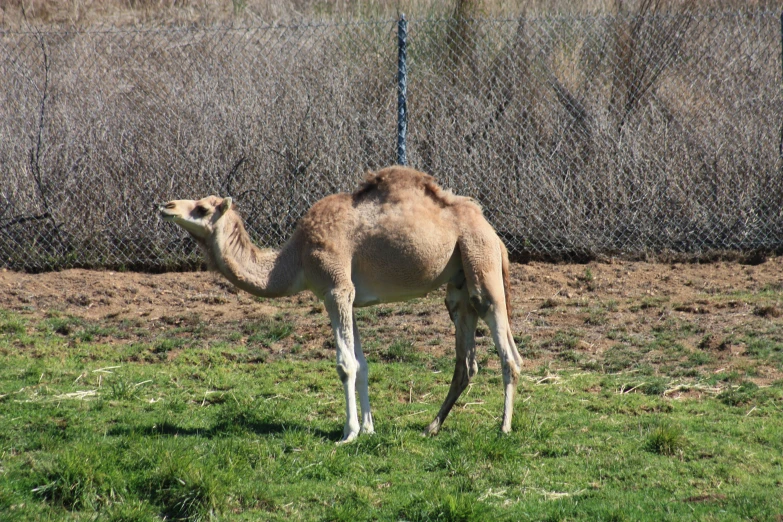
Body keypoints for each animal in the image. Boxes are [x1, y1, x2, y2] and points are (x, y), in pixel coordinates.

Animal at [160, 165, 524, 440]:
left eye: (203, 208)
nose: (166, 205)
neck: (294, 260)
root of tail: (493, 233)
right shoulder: (350, 298)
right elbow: (362, 364)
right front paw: (368, 429)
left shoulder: (336, 288)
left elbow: (345, 364)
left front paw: (348, 433)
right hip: (459, 285)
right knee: (466, 361)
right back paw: (431, 427)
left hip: (480, 261)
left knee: (508, 352)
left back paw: (504, 428)